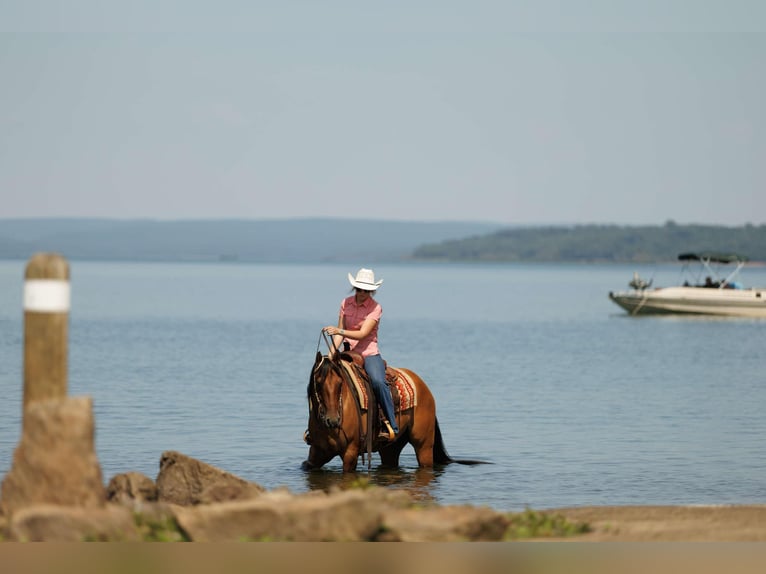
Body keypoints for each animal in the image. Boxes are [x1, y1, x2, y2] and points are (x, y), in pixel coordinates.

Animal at [302, 351, 482, 473]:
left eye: (340, 383)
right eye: (318, 383)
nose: (332, 420)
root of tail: (424, 387)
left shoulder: (350, 453)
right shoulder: (317, 451)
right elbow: (306, 465)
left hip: (423, 446)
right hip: (390, 447)